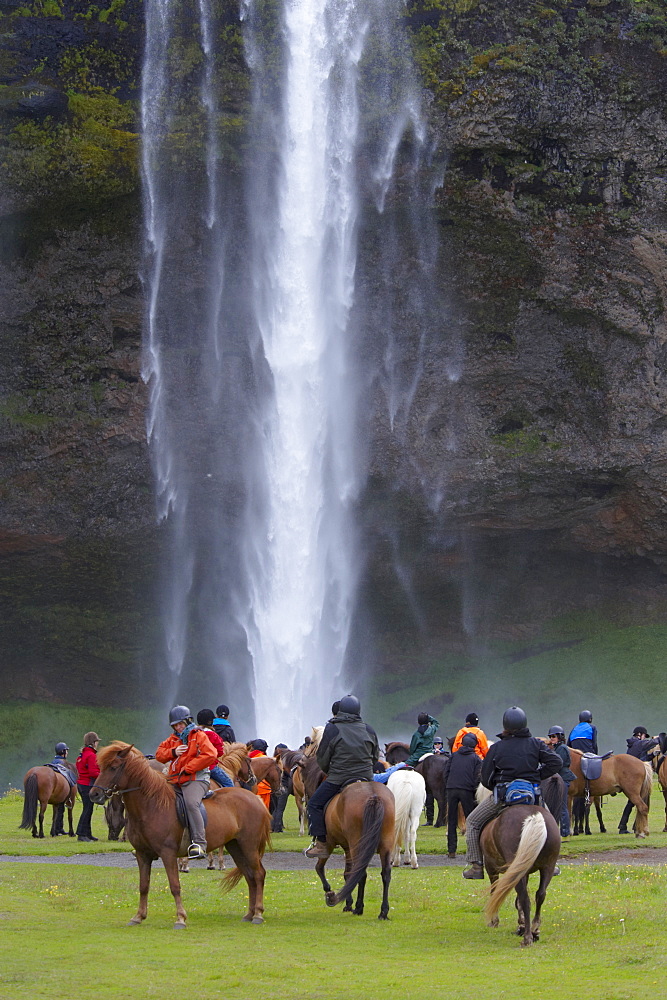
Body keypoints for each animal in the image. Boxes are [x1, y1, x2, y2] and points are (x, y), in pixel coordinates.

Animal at [90, 744, 272, 928]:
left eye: (113, 767)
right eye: (101, 767)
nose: (94, 794)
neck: (151, 806)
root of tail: (255, 799)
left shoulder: (168, 854)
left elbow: (175, 885)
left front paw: (180, 918)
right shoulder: (142, 855)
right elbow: (143, 886)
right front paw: (138, 916)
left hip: (248, 846)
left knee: (258, 874)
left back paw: (258, 914)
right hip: (236, 847)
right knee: (249, 876)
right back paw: (249, 914)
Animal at [314, 780, 396, 920]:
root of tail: (373, 795)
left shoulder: (329, 843)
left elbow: (319, 868)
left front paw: (331, 893)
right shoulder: (347, 848)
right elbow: (347, 873)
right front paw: (348, 903)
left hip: (356, 845)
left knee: (361, 872)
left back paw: (359, 908)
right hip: (385, 845)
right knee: (386, 874)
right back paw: (383, 912)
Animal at [482, 804, 560, 944]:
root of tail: (534, 817)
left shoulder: (491, 868)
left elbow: (494, 892)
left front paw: (494, 920)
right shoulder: (525, 872)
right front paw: (521, 925)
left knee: (525, 898)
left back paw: (527, 937)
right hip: (548, 867)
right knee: (540, 894)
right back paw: (534, 930)